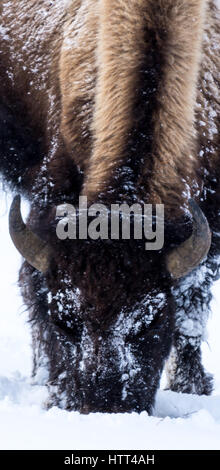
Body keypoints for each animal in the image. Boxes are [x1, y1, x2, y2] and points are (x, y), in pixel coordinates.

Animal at [0, 0, 219, 414]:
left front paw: (193, 386)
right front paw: (56, 390)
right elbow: (35, 286)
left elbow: (192, 305)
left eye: (150, 320)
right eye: (65, 319)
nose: (105, 403)